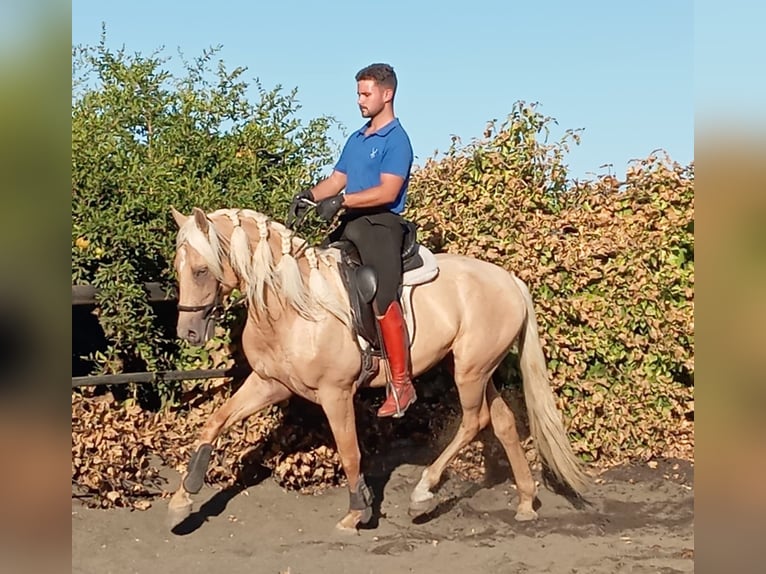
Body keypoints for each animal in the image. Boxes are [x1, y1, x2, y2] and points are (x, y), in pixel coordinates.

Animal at [168, 208, 588, 536]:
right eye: (178, 270)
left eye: (202, 270)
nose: (188, 333)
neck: (295, 304)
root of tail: (509, 280)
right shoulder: (270, 384)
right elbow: (215, 422)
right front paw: (184, 494)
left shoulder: (335, 393)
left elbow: (350, 451)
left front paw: (356, 512)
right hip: (475, 369)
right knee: (501, 421)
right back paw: (526, 502)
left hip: (470, 372)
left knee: (474, 421)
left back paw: (423, 492)